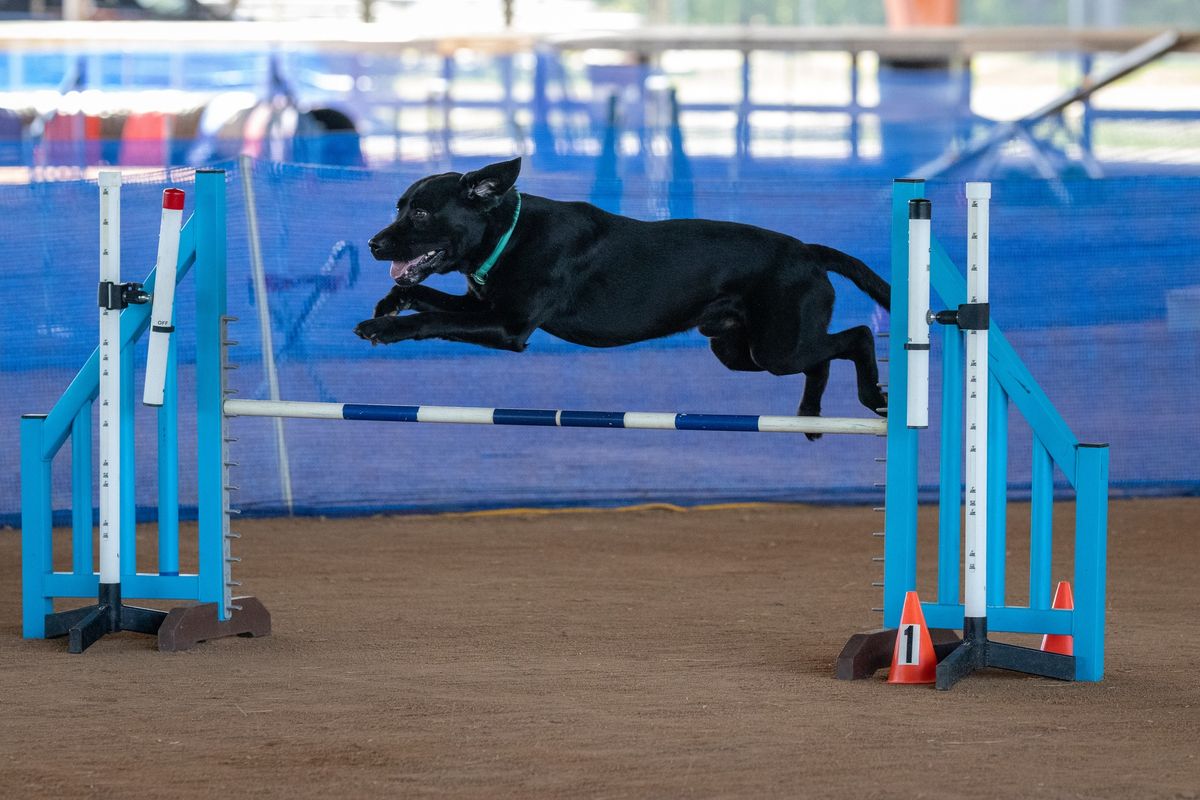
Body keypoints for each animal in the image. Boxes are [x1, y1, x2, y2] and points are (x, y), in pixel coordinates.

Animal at [350, 155, 888, 431]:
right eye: (399, 206)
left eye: (421, 212)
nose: (374, 243)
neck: (509, 232)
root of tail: (809, 252)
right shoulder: (484, 307)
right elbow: (426, 298)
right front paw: (388, 304)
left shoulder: (507, 325)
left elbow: (431, 319)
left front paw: (382, 326)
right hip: (740, 350)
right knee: (821, 360)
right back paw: (810, 417)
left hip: (776, 346)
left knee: (858, 336)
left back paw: (874, 398)